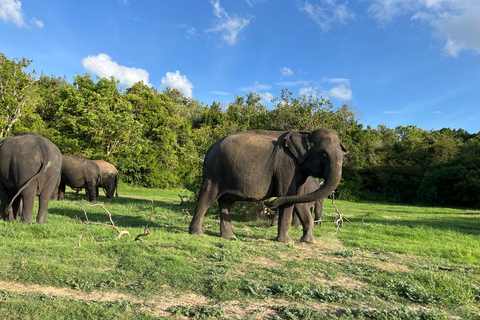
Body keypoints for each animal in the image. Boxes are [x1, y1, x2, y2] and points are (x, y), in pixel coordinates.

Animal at [189, 127, 346, 242]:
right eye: (324, 155)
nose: (268, 202)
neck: (305, 134)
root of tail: (210, 148)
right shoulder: (286, 165)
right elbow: (287, 196)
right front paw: (287, 242)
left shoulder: (298, 170)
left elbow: (298, 199)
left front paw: (309, 241)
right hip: (214, 171)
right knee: (207, 198)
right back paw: (197, 234)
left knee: (225, 202)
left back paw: (230, 237)